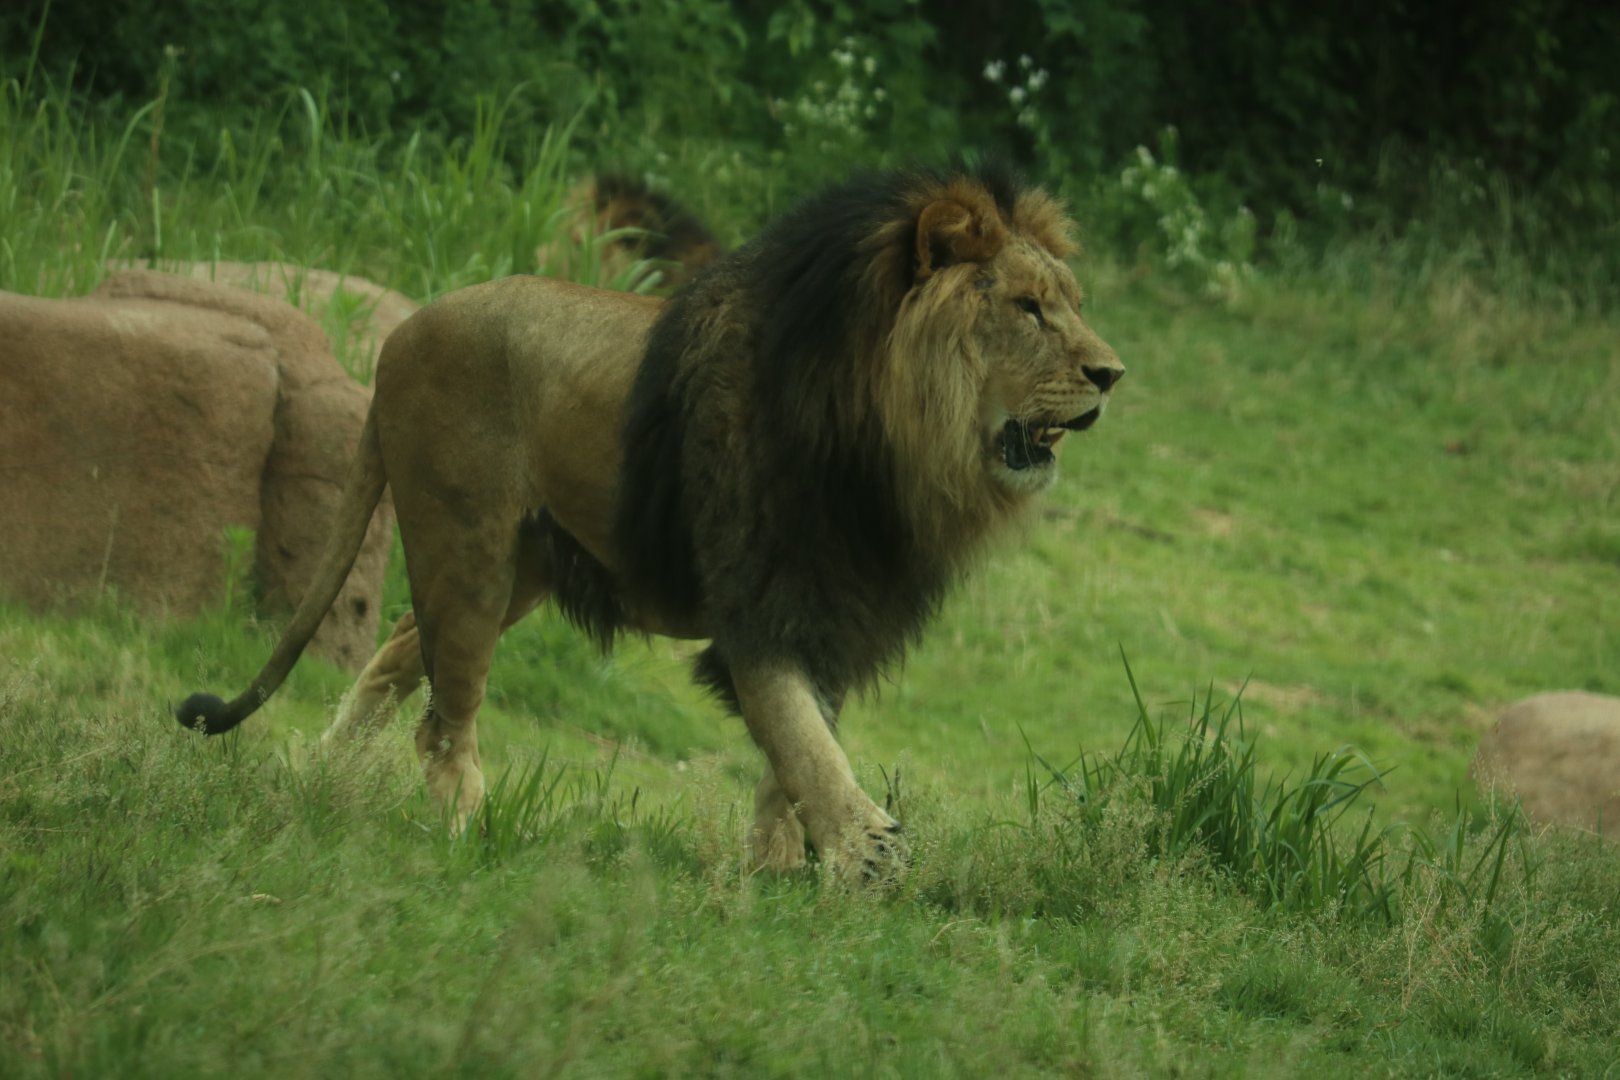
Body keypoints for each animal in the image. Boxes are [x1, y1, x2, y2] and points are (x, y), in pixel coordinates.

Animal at [175, 161, 1124, 882]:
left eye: (1071, 302)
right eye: (1028, 308)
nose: (1112, 374)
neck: (888, 446)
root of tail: (401, 334)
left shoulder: (839, 607)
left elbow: (795, 747)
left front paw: (777, 871)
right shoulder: (760, 599)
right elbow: (801, 737)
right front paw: (866, 856)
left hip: (516, 567)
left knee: (396, 657)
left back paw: (320, 783)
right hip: (468, 547)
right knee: (445, 718)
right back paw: (467, 837)